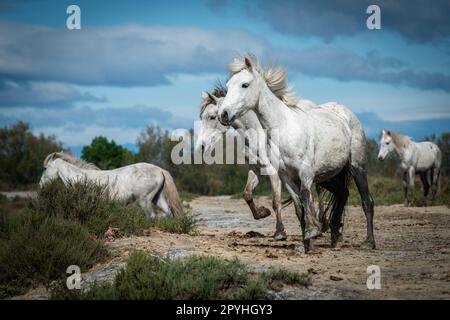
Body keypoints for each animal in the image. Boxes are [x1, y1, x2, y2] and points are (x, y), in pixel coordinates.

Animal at [39, 152, 184, 218]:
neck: (80, 178)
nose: (41, 186)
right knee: (169, 212)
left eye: (45, 169)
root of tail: (159, 170)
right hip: (158, 198)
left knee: (152, 216)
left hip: (145, 200)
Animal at [216, 53, 374, 251]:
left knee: (367, 201)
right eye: (228, 85)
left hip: (356, 167)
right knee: (342, 194)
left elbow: (306, 197)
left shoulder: (305, 173)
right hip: (329, 174)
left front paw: (312, 232)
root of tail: (347, 114)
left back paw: (368, 242)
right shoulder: (286, 176)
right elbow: (299, 208)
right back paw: (335, 236)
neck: (284, 129)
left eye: (245, 84)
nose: (223, 114)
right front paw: (305, 245)